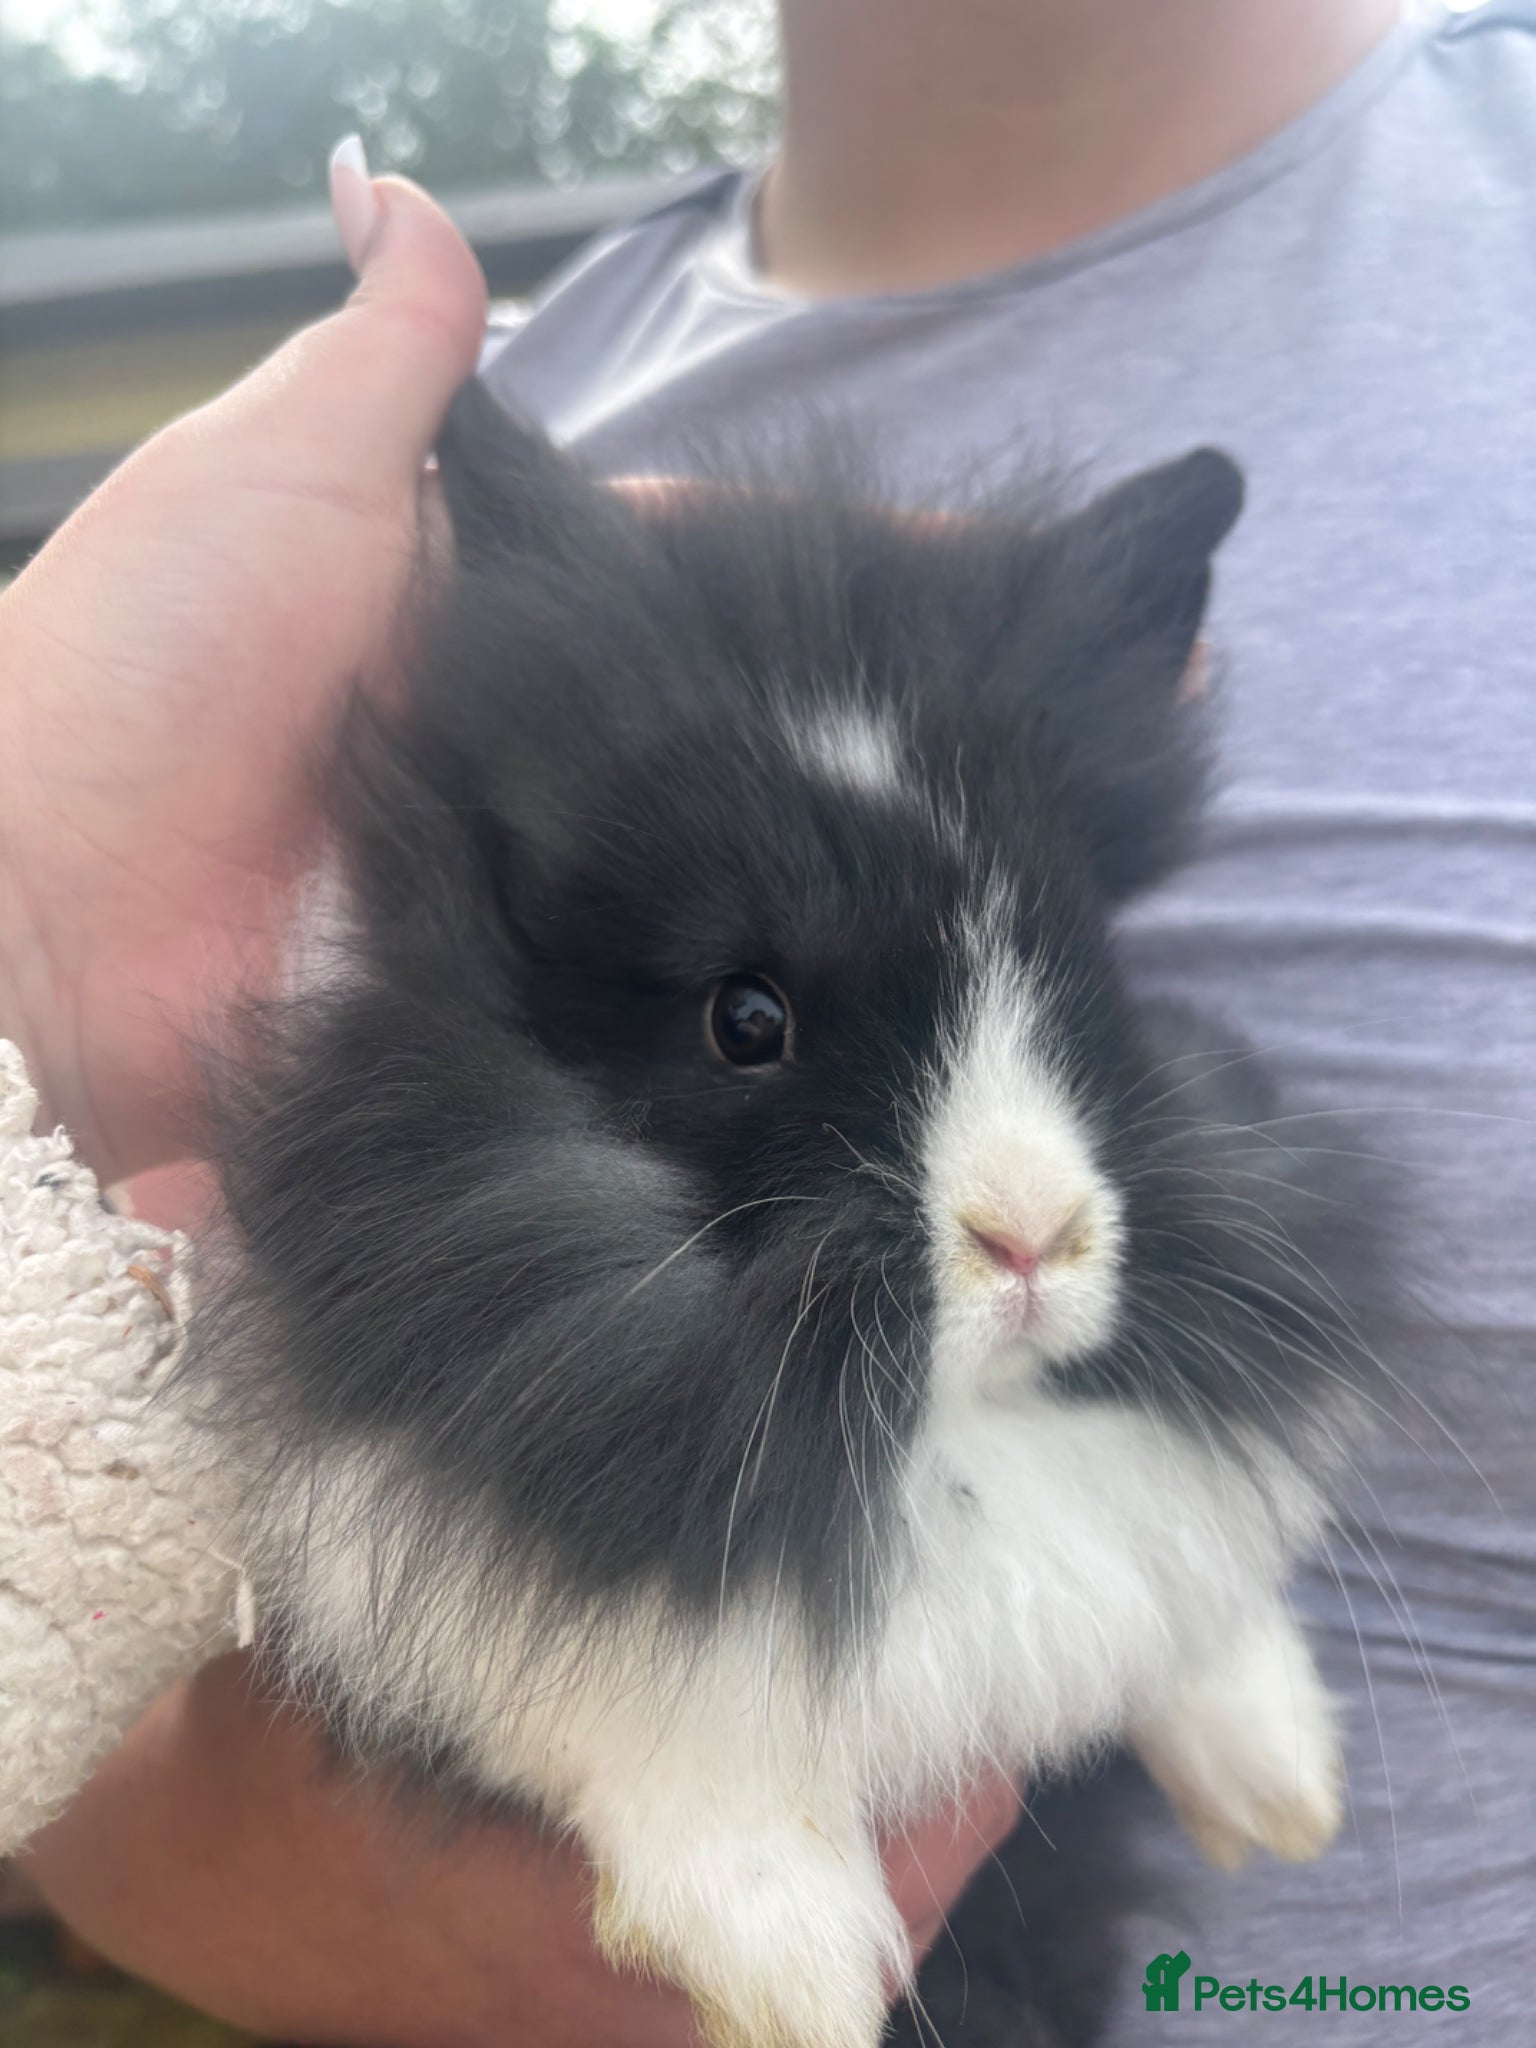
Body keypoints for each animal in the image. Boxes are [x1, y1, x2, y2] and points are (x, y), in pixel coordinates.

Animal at [184, 380, 1395, 2048]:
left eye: (1080, 959)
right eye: (744, 1021)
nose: (1030, 1240)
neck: (941, 1431)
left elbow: (1173, 1567)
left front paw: (1283, 1784)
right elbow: (629, 1701)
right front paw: (799, 1968)